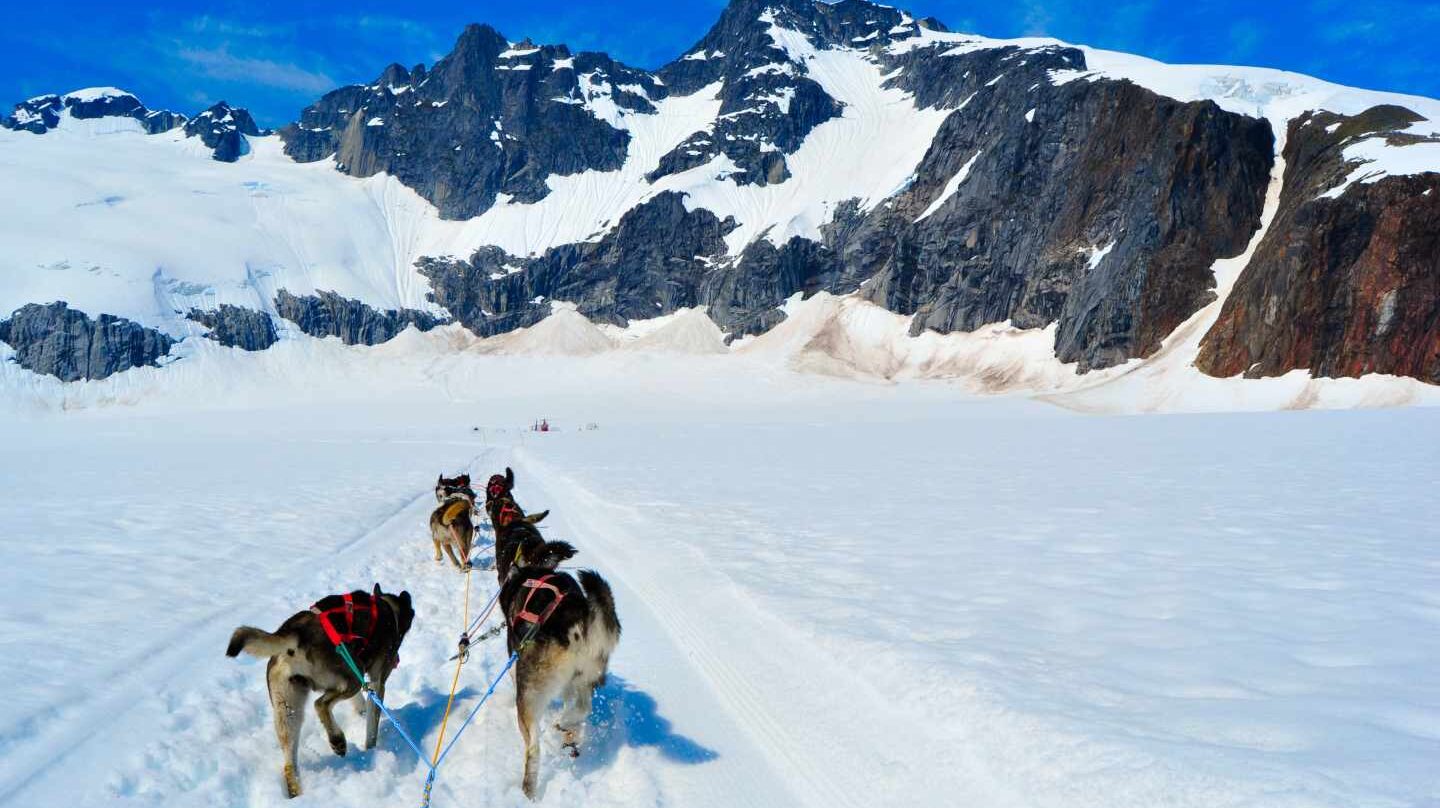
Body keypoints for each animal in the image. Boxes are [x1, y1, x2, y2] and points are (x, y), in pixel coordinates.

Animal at [224, 581, 414, 795]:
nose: (397, 659)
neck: (387, 609)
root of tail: (296, 634)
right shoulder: (376, 681)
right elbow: (371, 727)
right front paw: (371, 749)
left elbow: (359, 702)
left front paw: (361, 711)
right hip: (351, 675)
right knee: (320, 704)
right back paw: (337, 740)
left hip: (288, 709)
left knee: (289, 763)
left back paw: (296, 790)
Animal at [501, 564, 619, 795]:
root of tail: (577, 622)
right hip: (585, 678)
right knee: (583, 708)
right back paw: (564, 722)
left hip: (530, 696)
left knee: (533, 748)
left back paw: (528, 789)